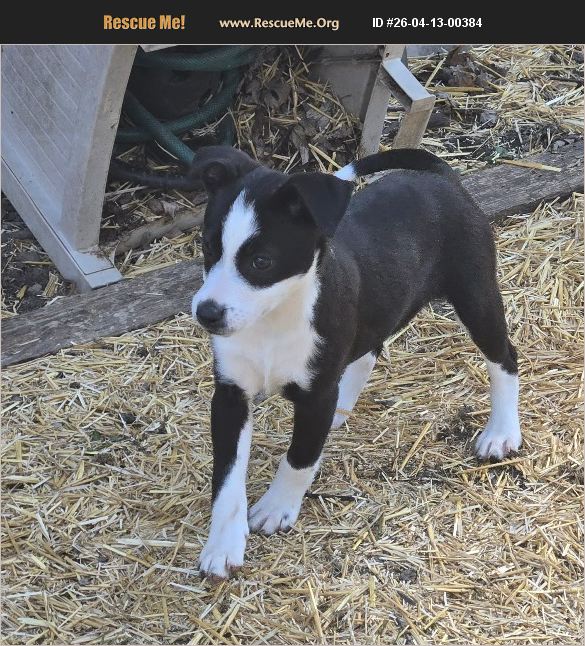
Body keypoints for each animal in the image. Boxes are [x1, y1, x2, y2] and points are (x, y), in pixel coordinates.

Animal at [190, 145, 521, 579]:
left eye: (261, 261)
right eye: (208, 248)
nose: (207, 313)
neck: (272, 321)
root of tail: (441, 177)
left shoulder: (315, 395)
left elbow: (299, 458)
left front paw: (277, 508)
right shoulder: (230, 395)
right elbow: (227, 477)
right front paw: (223, 545)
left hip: (476, 295)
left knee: (505, 357)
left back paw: (501, 432)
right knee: (371, 349)